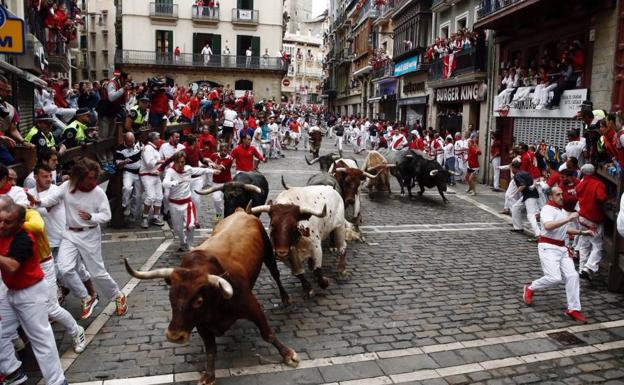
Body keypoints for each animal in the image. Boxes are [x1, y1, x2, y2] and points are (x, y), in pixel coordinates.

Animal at [124, 208, 298, 382]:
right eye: (170, 297)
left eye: (199, 301)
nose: (174, 336)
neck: (216, 299)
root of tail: (242, 211)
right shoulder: (201, 324)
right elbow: (210, 350)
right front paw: (209, 375)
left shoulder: (253, 307)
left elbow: (268, 334)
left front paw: (288, 354)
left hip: (269, 253)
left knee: (275, 274)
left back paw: (286, 297)